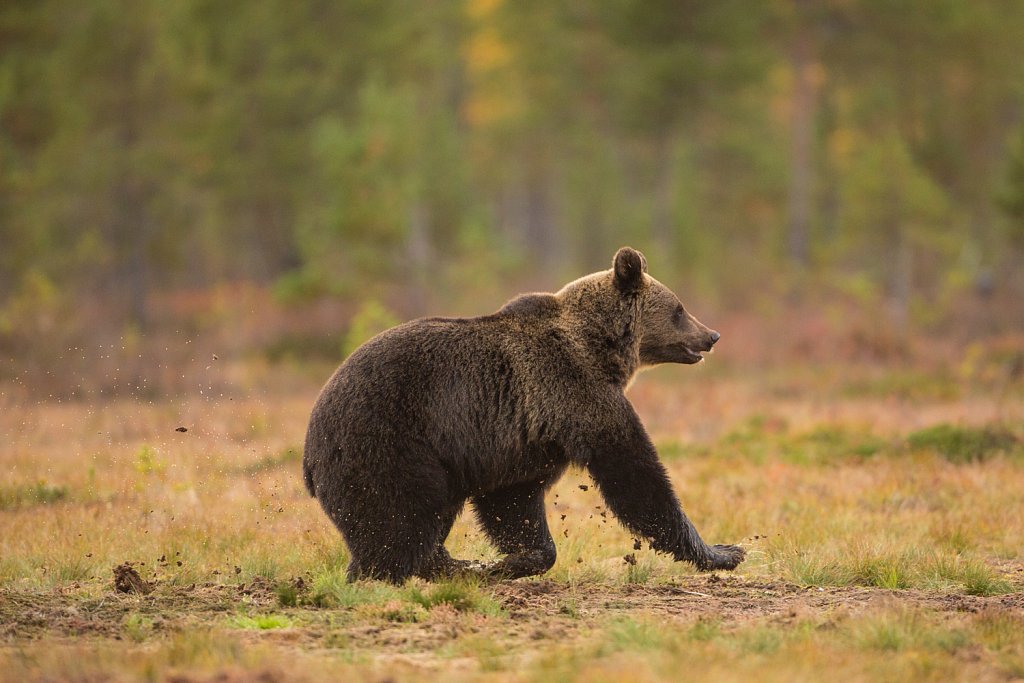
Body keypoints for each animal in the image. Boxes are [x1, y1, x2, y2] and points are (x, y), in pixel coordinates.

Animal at [301, 248, 745, 585]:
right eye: (679, 309)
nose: (712, 335)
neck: (600, 348)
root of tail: (309, 447)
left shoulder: (523, 440)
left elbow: (513, 502)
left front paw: (512, 559)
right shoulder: (574, 391)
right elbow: (635, 474)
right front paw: (724, 550)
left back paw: (455, 564)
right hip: (387, 444)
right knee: (399, 523)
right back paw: (386, 573)